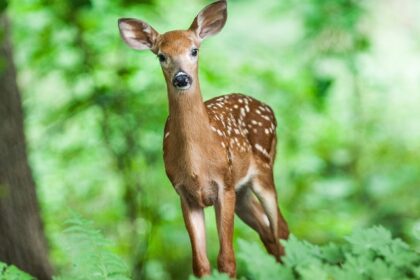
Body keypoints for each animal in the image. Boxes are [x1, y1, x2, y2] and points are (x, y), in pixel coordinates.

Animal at [118, 0, 288, 276]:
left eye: (194, 50)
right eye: (161, 56)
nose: (181, 78)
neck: (197, 163)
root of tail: (268, 108)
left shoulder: (224, 186)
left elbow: (227, 259)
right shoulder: (185, 194)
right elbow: (200, 263)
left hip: (263, 170)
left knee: (281, 229)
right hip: (242, 192)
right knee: (268, 233)